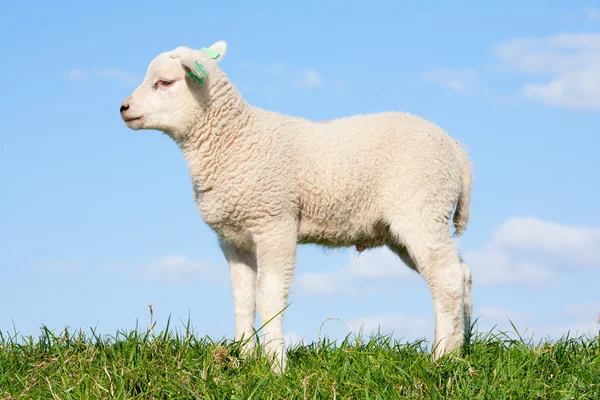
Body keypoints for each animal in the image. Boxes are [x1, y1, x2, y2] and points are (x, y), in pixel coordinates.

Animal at [118, 42, 474, 374]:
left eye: (165, 82)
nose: (123, 108)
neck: (233, 140)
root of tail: (456, 149)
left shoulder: (275, 223)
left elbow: (269, 295)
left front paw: (276, 365)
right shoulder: (233, 238)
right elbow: (243, 298)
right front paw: (244, 357)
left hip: (422, 209)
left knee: (446, 278)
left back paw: (441, 357)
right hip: (410, 227)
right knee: (459, 273)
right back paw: (462, 347)